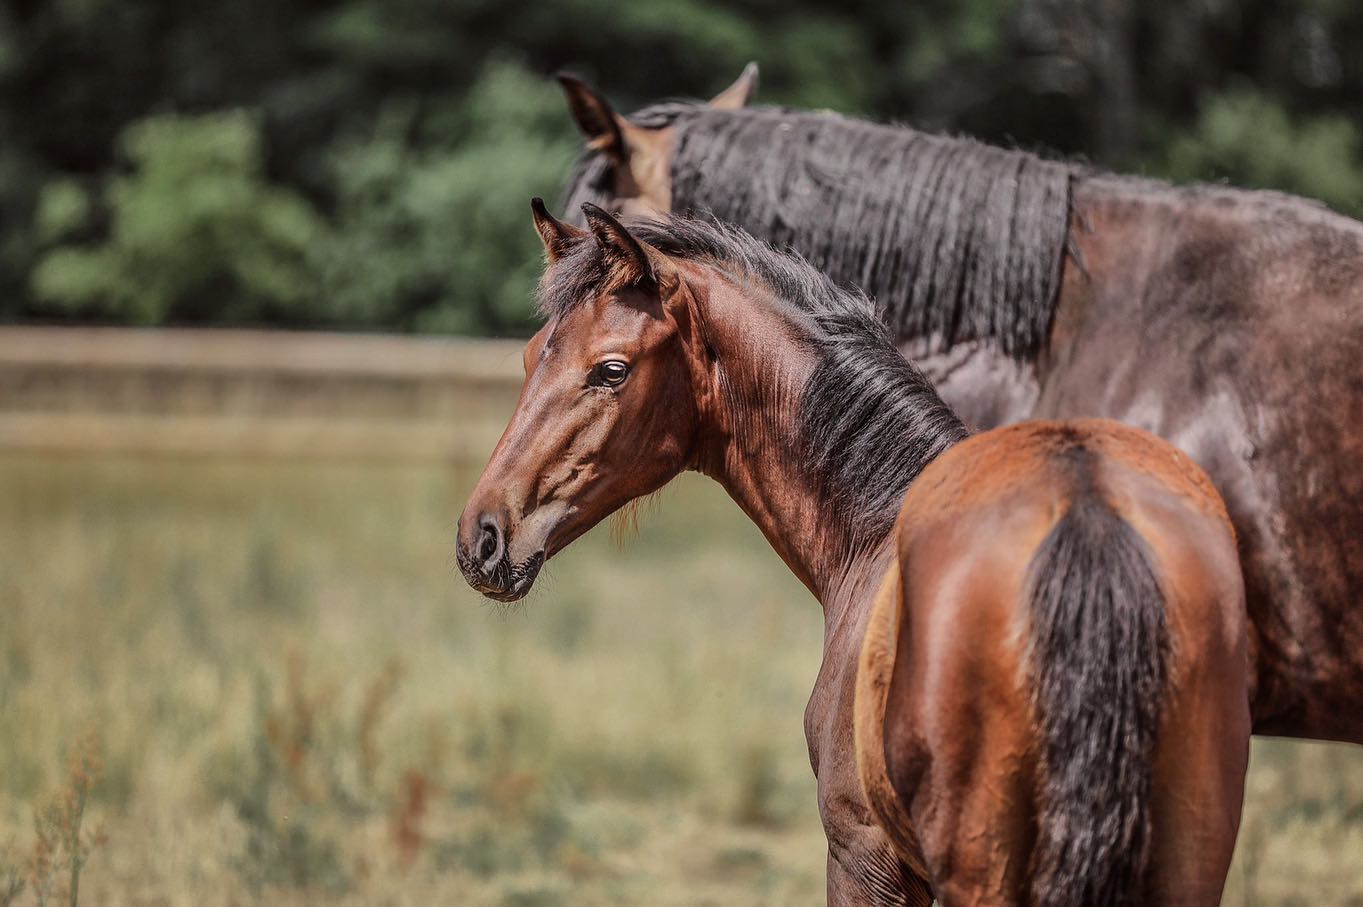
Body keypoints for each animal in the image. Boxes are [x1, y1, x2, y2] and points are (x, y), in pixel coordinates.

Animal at [455, 201, 1251, 905]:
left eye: (612, 369)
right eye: (530, 356)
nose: (482, 538)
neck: (875, 532)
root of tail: (1085, 519)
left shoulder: (862, 854)